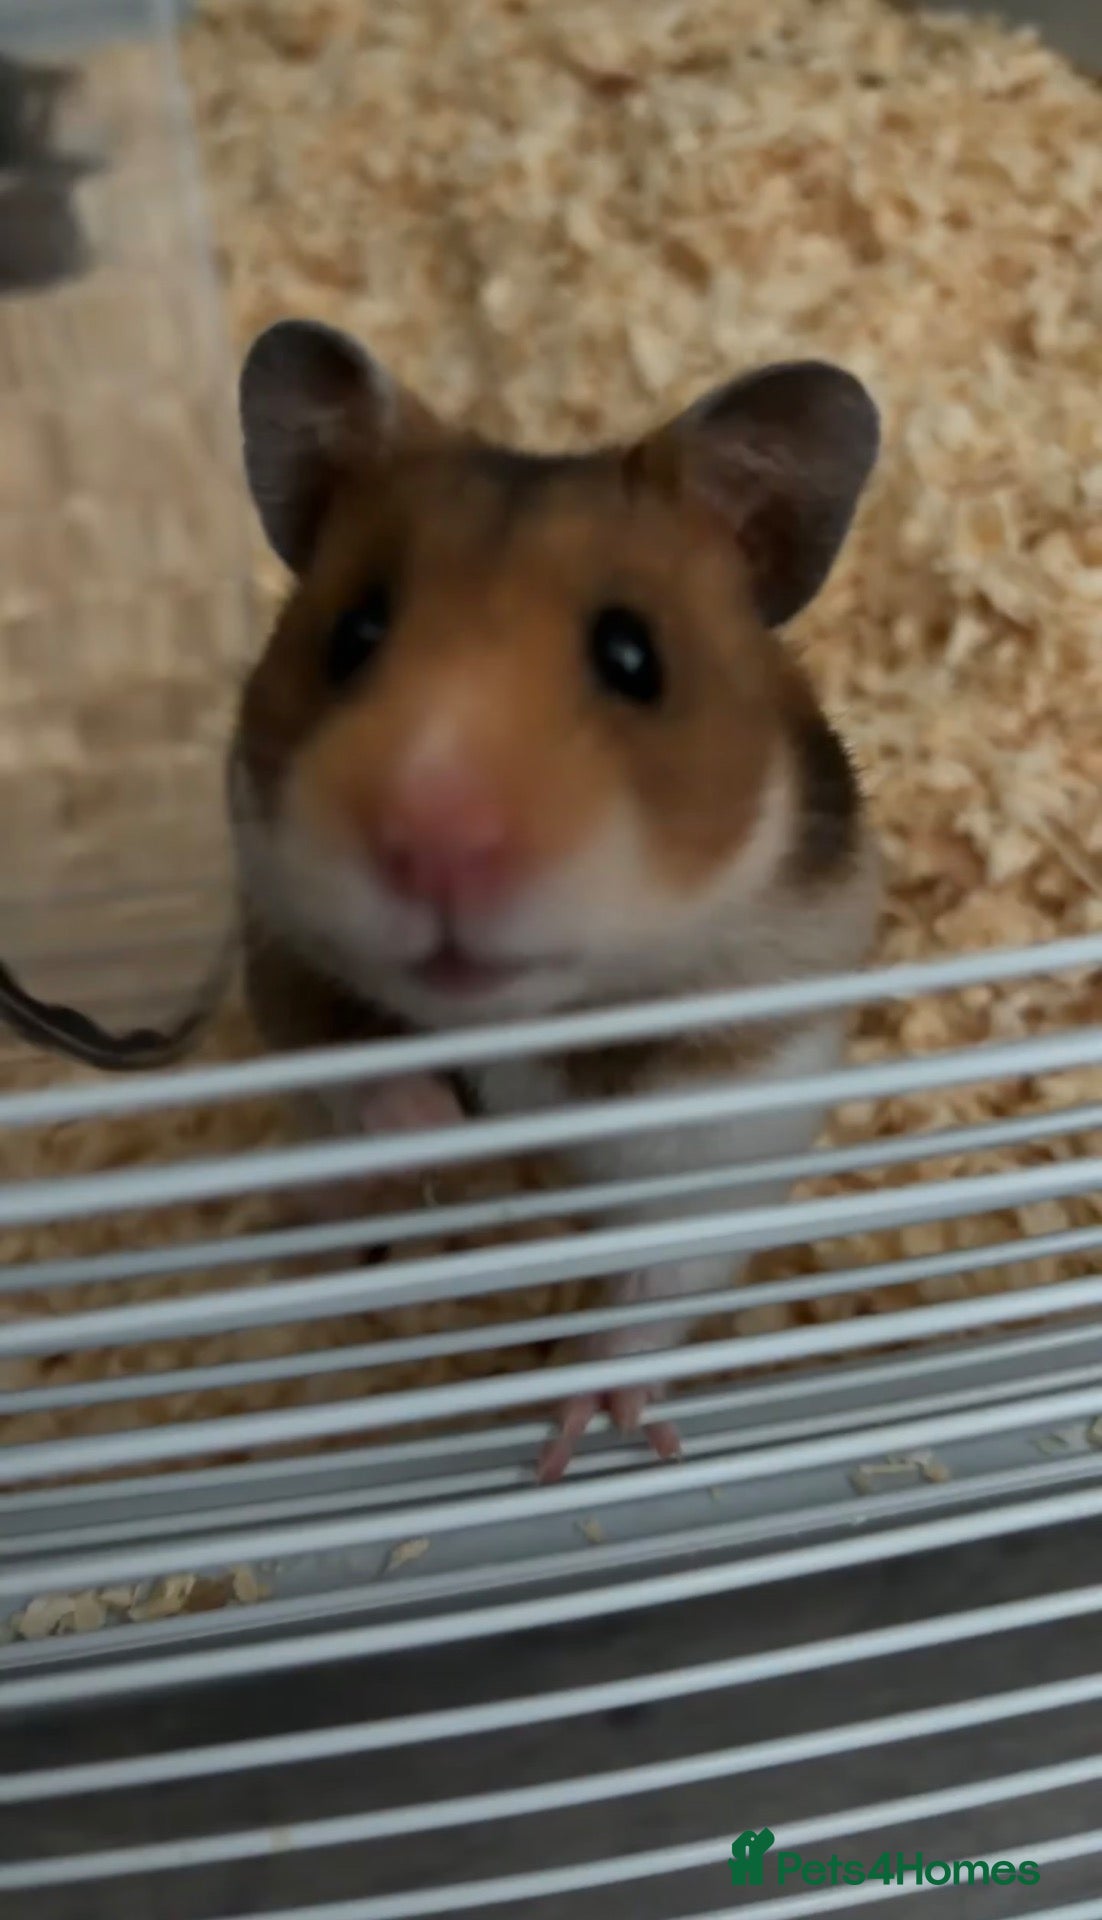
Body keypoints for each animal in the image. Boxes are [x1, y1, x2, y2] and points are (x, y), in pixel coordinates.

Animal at [230, 318, 882, 1480]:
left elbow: (650, 1288)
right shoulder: (284, 954)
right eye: (352, 634)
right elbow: (363, 1070)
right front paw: (440, 1138)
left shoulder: (733, 1105)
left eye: (633, 656)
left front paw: (593, 1442)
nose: (435, 837)